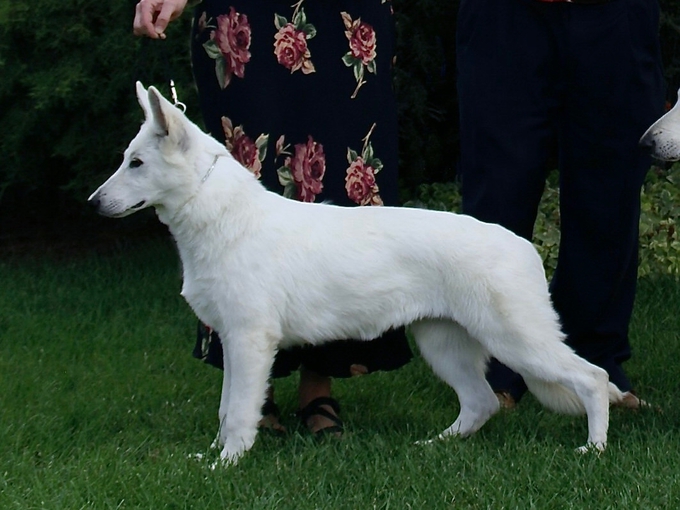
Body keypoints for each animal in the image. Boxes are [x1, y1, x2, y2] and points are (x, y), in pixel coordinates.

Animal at [90, 81, 628, 464]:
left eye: (137, 163)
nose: (93, 204)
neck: (222, 215)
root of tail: (524, 246)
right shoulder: (233, 340)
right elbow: (226, 410)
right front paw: (214, 458)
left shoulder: (248, 341)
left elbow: (239, 413)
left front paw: (226, 466)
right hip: (443, 343)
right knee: (481, 403)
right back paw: (435, 447)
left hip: (516, 340)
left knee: (593, 378)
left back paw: (595, 449)